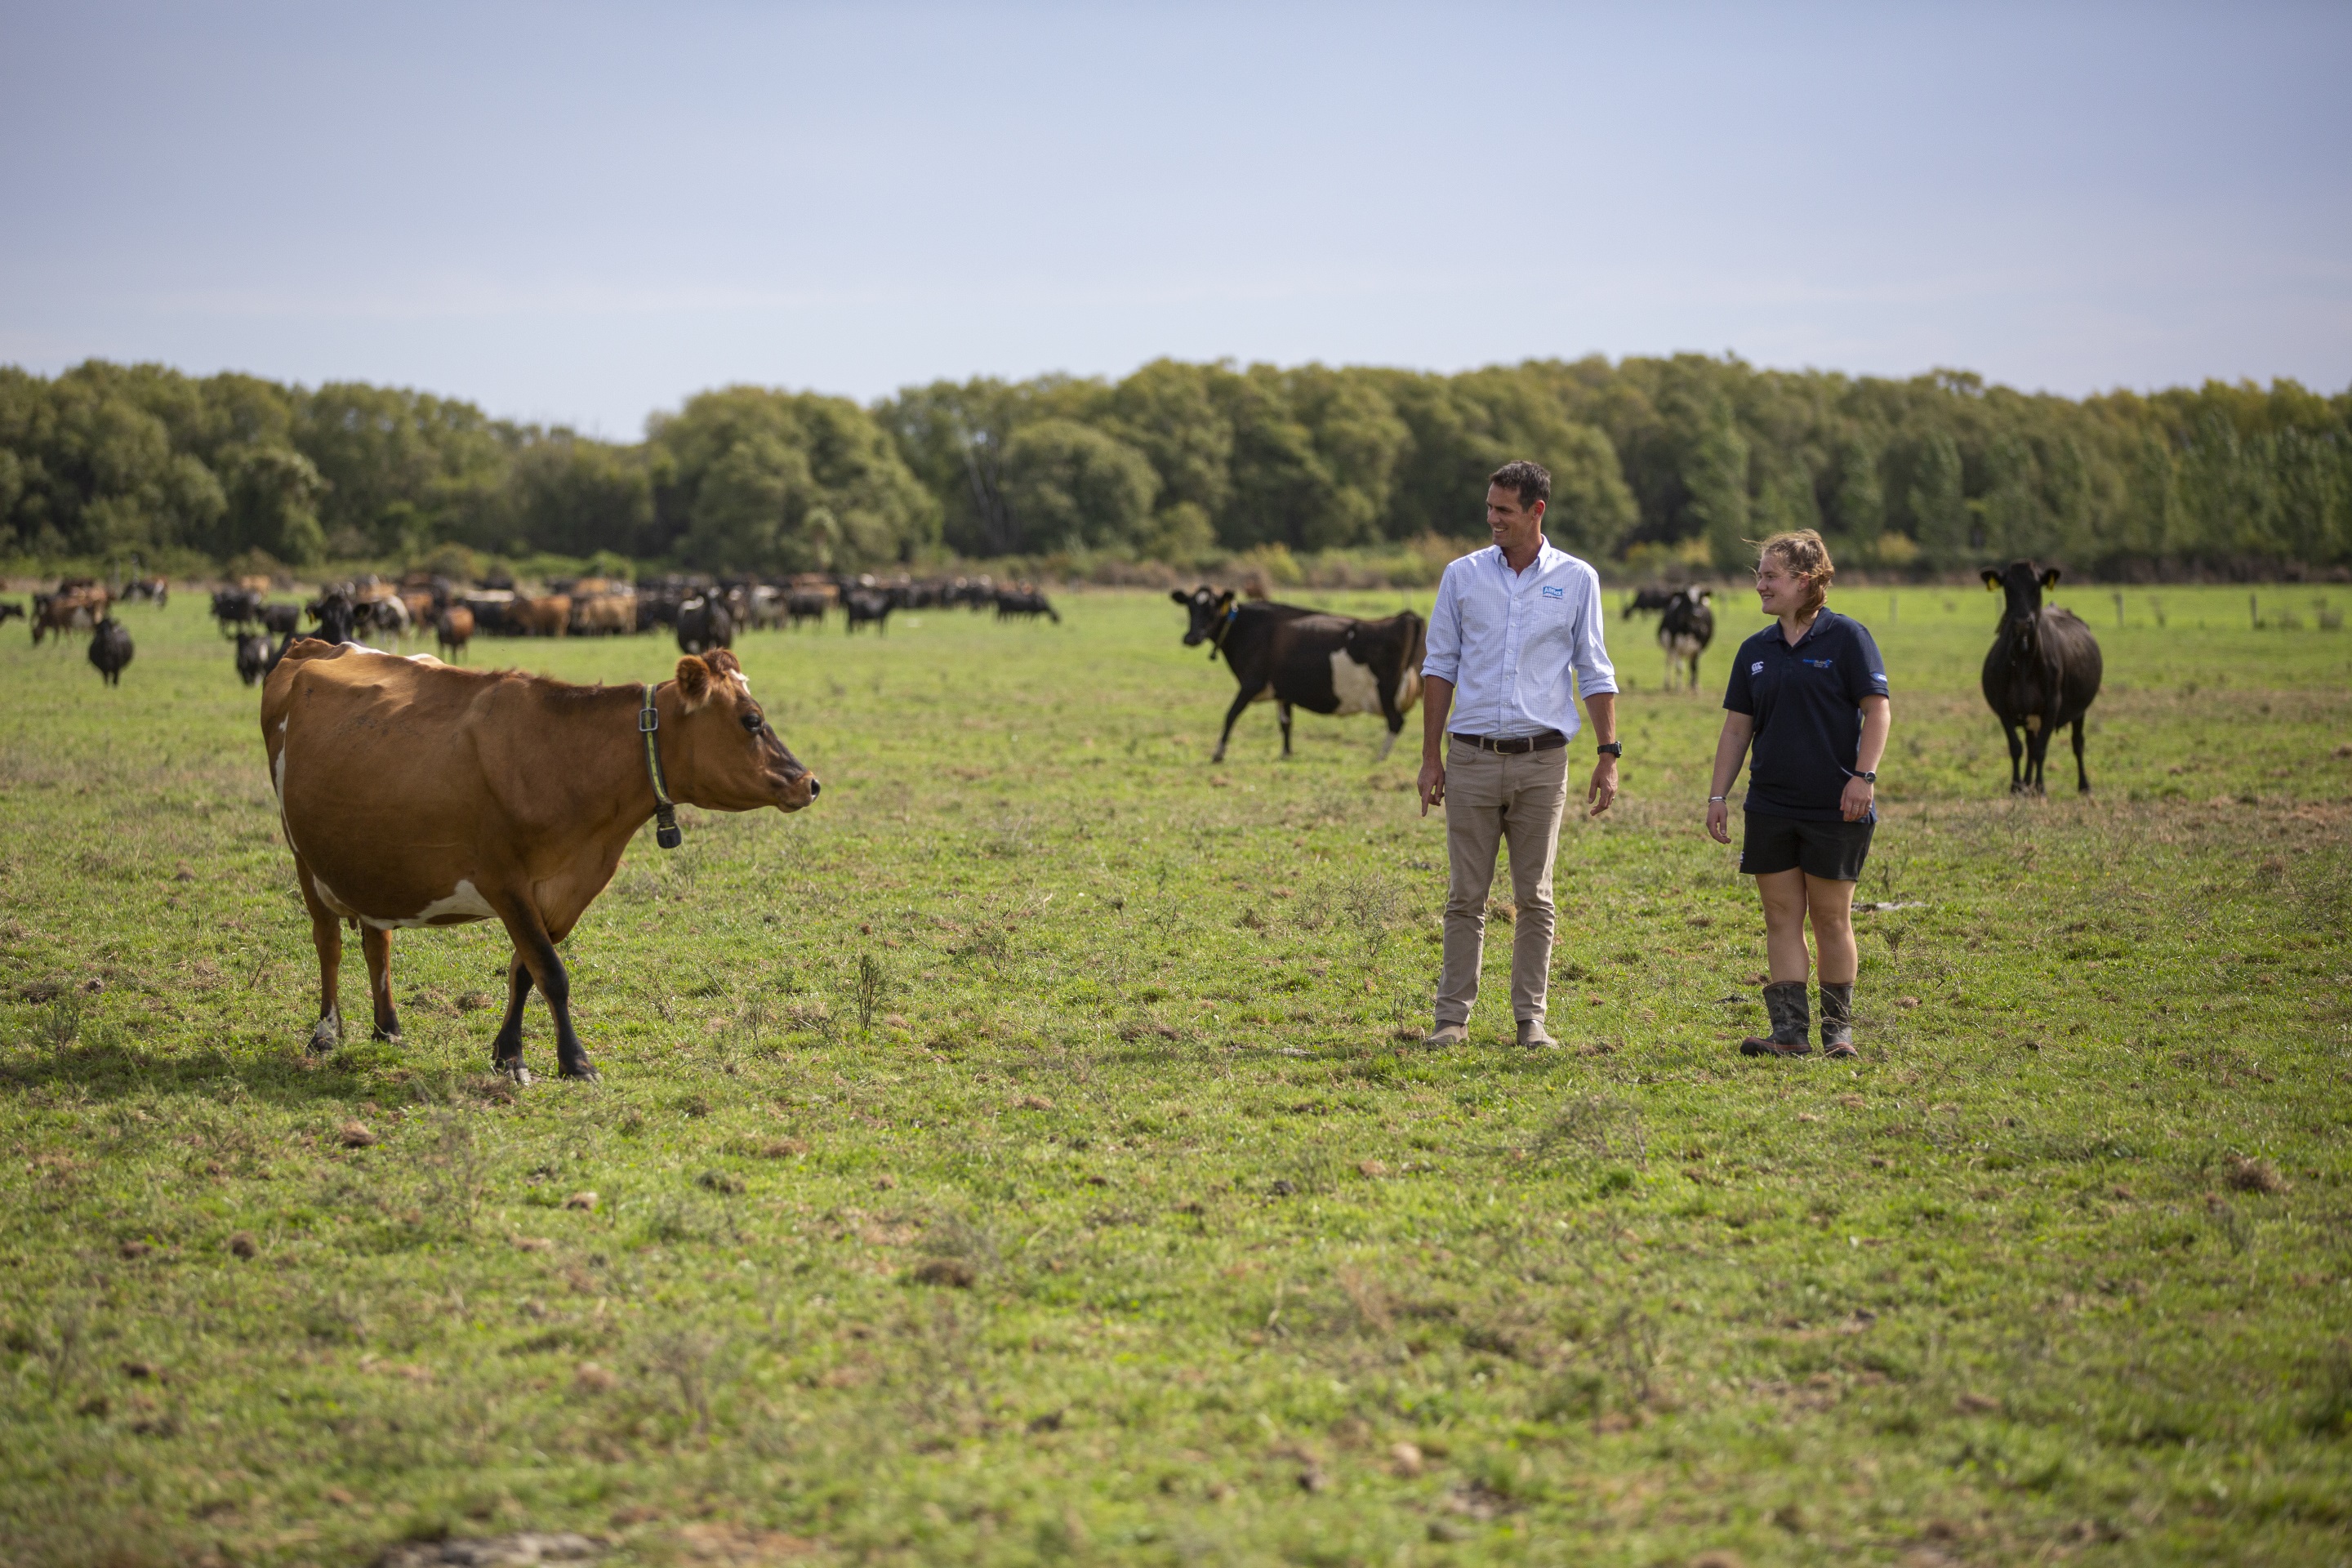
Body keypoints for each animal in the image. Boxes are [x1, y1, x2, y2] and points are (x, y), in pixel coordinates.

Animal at [260, 644, 818, 1085]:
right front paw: (575, 1062)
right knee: (329, 942)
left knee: (378, 941)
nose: (808, 782)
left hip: (370, 867)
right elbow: (551, 972)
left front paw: (508, 1053)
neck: (564, 760)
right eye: (751, 720)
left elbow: (524, 972)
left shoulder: (562, 891)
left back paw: (388, 1029)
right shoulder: (505, 883)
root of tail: (315, 646)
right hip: (304, 856)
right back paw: (326, 1034)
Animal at [1166, 587, 1420, 761]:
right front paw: (1286, 753)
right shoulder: (1283, 692)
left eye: (1211, 610)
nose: (1191, 638)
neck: (1245, 627)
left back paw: (1380, 756)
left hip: (1386, 691)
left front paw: (1218, 753)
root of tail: (1406, 617)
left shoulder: (1251, 683)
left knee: (1396, 721)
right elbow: (1286, 723)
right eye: (1190, 608)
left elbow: (1231, 714)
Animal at [1655, 585, 1712, 691]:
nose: (1696, 614)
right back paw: (1668, 684)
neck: (1690, 628)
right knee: (1669, 662)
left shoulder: (1699, 647)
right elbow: (1679, 668)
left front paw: (1695, 686)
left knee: (1689, 664)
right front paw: (1679, 688)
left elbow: (1695, 666)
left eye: (1700, 599)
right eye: (1686, 599)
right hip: (1670, 648)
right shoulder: (1676, 647)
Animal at [1976, 561, 2107, 799]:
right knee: (2029, 743)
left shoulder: (2053, 704)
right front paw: (2017, 787)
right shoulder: (2003, 707)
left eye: (2037, 587)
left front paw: (2041, 788)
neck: (2024, 658)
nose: (2022, 622)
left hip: (2080, 710)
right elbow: (2016, 747)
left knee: (2077, 743)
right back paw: (2027, 784)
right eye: (2007, 587)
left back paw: (2083, 786)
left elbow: (2040, 749)